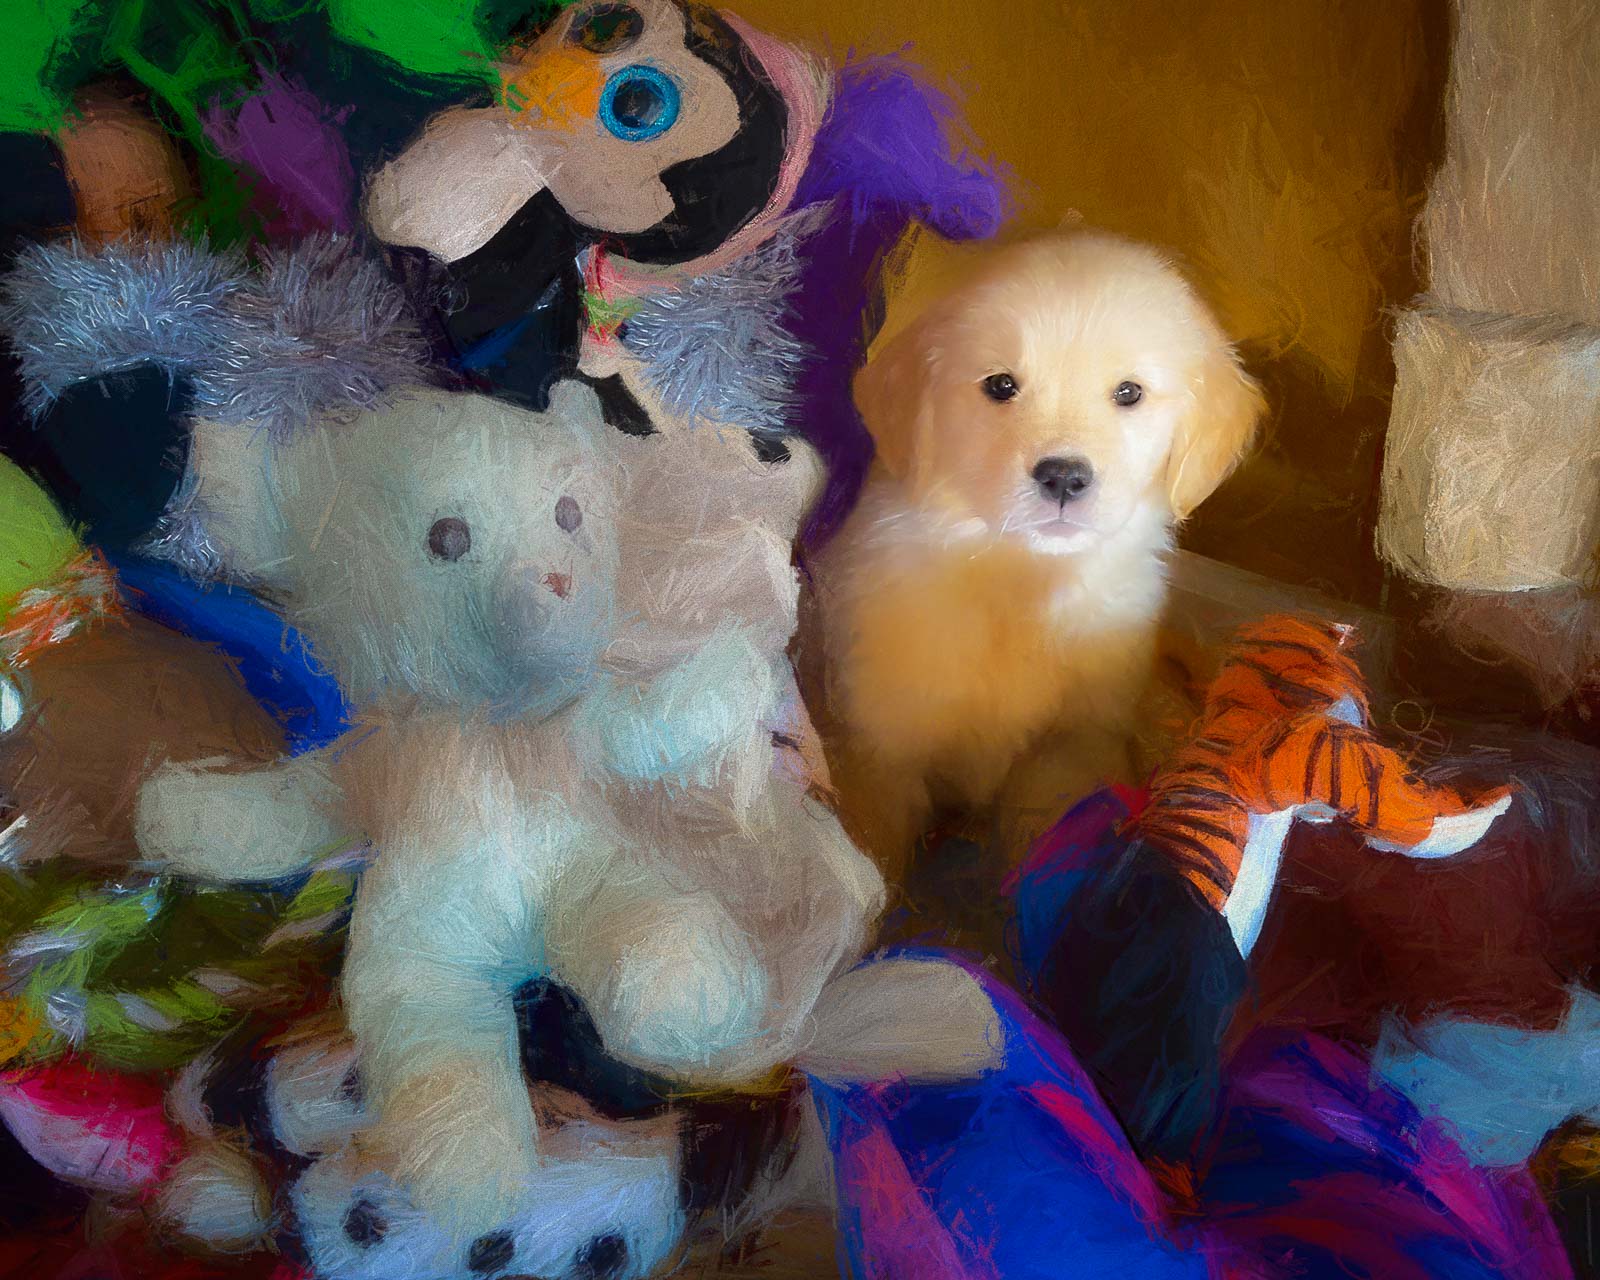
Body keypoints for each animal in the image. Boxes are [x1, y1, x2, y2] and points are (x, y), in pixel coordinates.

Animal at [806, 230, 1267, 883]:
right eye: (1001, 386)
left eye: (1129, 393)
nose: (1064, 478)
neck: (1018, 572)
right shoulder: (881, 748)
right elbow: (876, 853)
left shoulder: (1070, 748)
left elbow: (1044, 834)